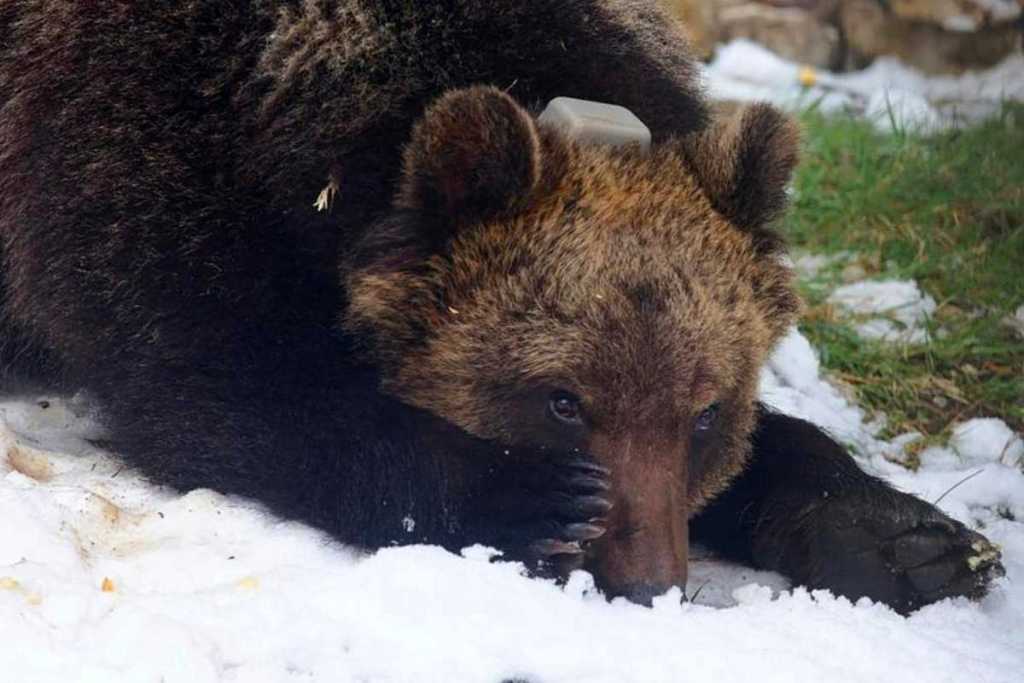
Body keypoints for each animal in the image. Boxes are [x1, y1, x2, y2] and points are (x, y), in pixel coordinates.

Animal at [0, 0, 1004, 613]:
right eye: (561, 399)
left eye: (706, 412)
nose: (649, 583)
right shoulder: (142, 185)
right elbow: (233, 394)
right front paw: (529, 494)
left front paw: (918, 542)